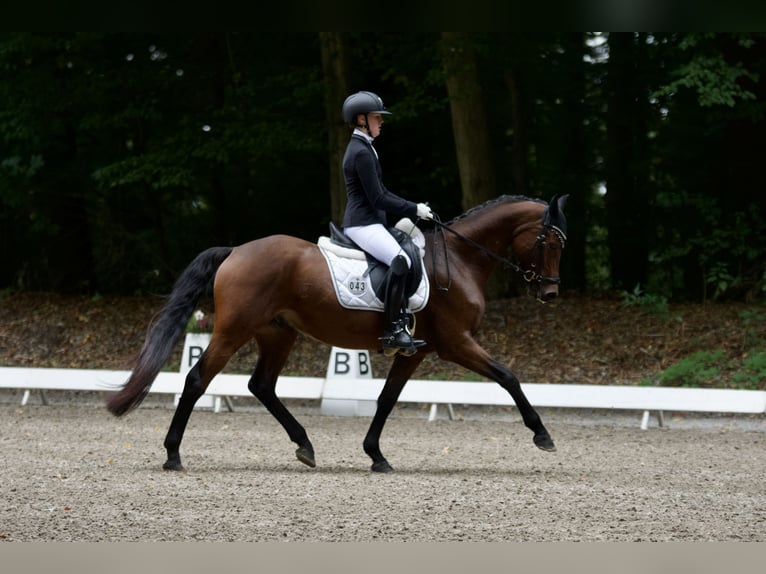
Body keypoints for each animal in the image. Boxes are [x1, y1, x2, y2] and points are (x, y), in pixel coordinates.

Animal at [105, 196, 568, 474]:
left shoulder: (416, 351)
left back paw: (305, 446)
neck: (458, 257)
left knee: (262, 385)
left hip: (277, 334)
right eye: (550, 242)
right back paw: (173, 454)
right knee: (198, 379)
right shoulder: (456, 343)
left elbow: (386, 399)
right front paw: (542, 435)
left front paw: (376, 455)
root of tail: (236, 250)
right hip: (233, 330)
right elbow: (508, 376)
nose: (550, 293)